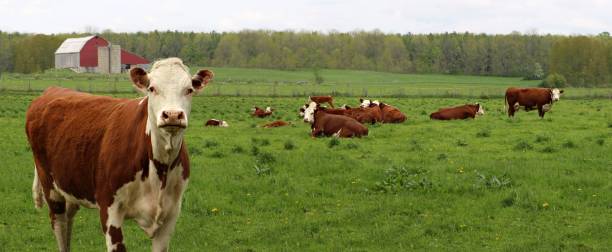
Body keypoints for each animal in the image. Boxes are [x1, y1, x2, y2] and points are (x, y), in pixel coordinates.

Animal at [25, 57, 213, 252]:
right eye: (152, 88)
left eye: (189, 90)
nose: (173, 115)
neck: (160, 169)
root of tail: (51, 90)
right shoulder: (109, 208)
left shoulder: (171, 214)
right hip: (50, 186)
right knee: (59, 226)